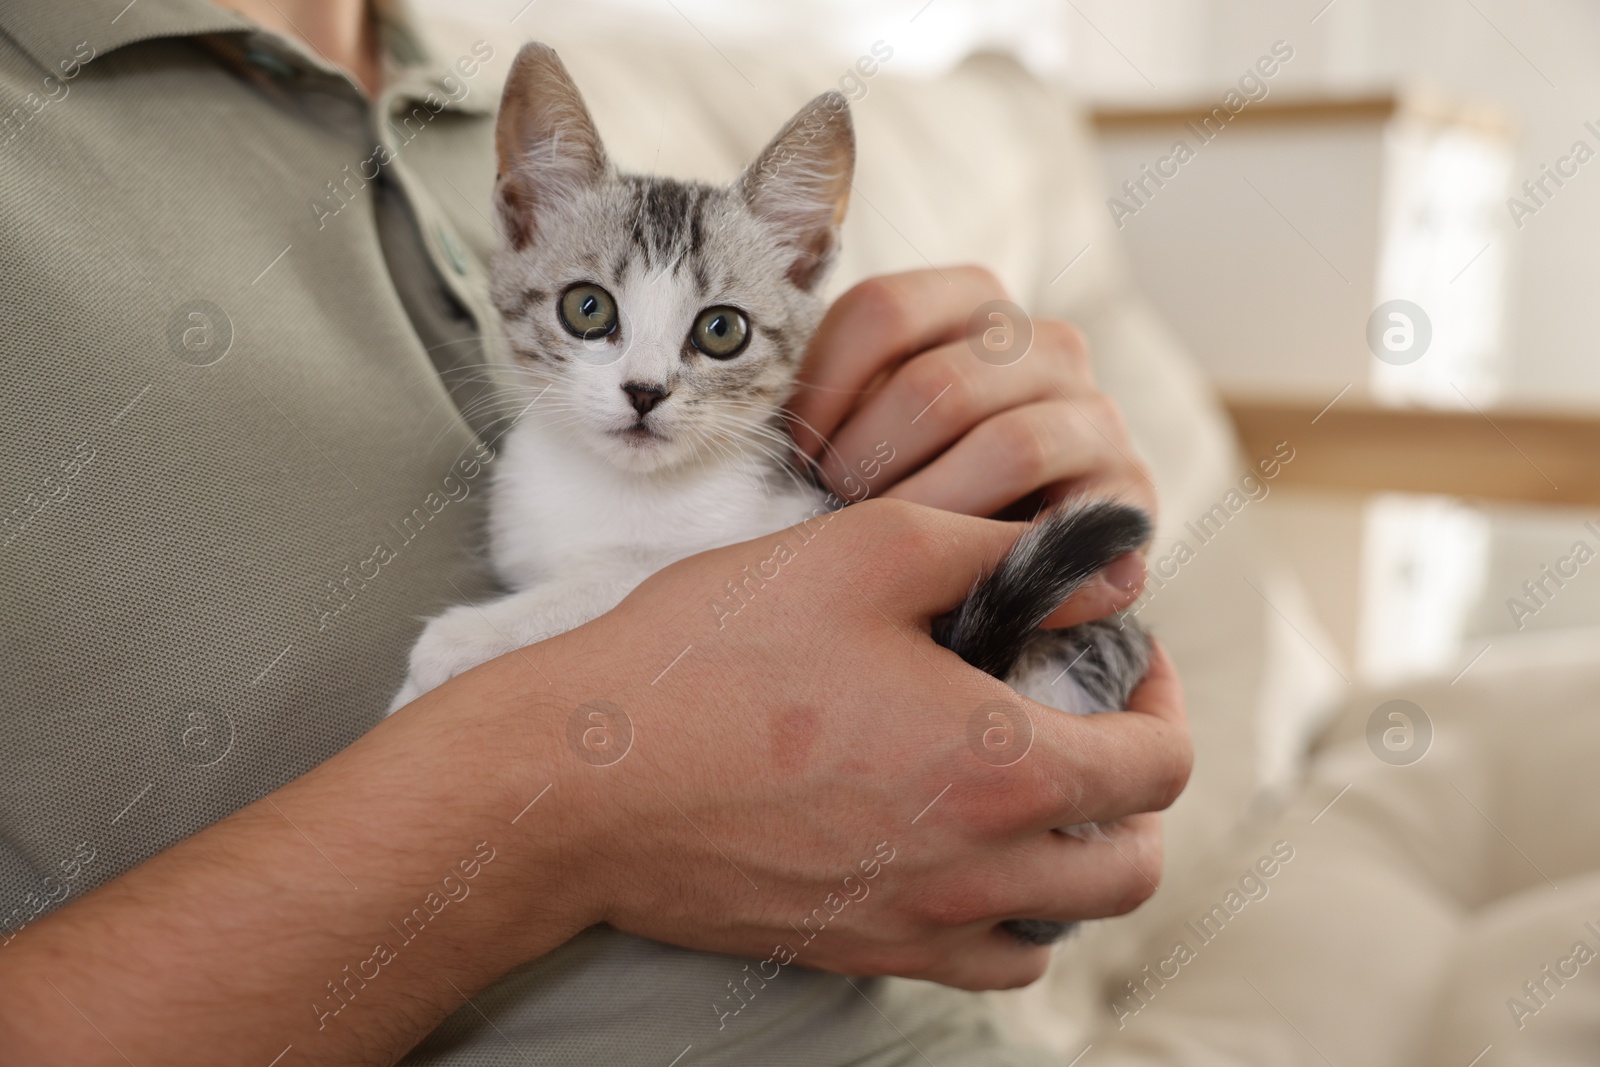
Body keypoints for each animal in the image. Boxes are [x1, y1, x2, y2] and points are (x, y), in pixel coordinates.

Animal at [393, 41, 1158, 940]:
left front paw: (454, 647)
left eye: (721, 330)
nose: (645, 391)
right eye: (587, 308)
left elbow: (616, 578)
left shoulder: (767, 530)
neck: (617, 490)